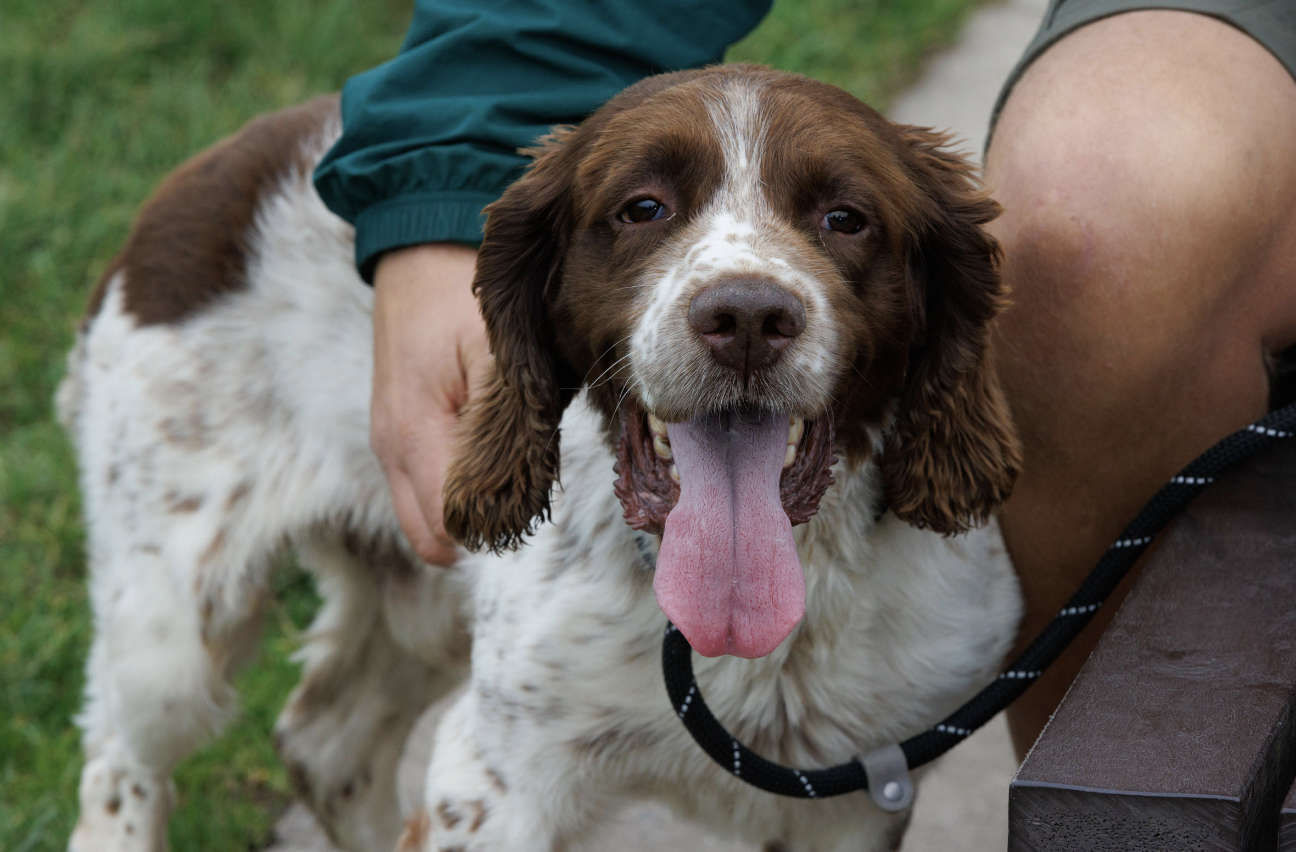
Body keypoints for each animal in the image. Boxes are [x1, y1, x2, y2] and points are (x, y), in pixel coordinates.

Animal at [58, 68, 1021, 850]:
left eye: (846, 218)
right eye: (642, 208)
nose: (746, 318)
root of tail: (211, 166)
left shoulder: (855, 798)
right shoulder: (495, 779)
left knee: (323, 740)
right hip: (171, 623)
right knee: (119, 765)